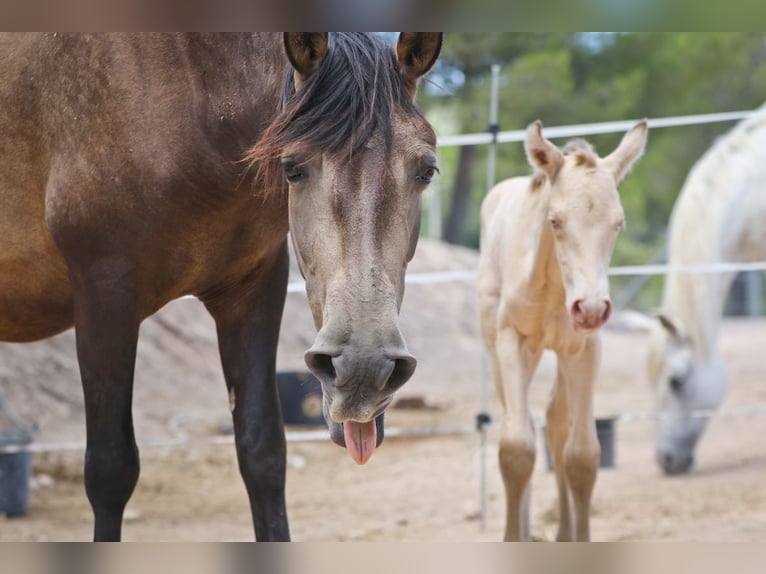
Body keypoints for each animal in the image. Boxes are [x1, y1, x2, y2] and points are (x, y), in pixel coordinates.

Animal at [0, 31, 444, 544]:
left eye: (427, 170)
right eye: (292, 167)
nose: (363, 370)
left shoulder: (252, 290)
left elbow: (263, 453)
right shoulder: (103, 294)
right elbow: (110, 471)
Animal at [480, 119, 648, 544]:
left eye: (618, 223)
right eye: (554, 220)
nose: (590, 309)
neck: (555, 289)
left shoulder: (585, 349)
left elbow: (582, 455)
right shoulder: (512, 340)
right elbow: (516, 448)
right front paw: (514, 537)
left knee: (556, 422)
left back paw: (562, 532)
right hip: (501, 348)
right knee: (520, 417)